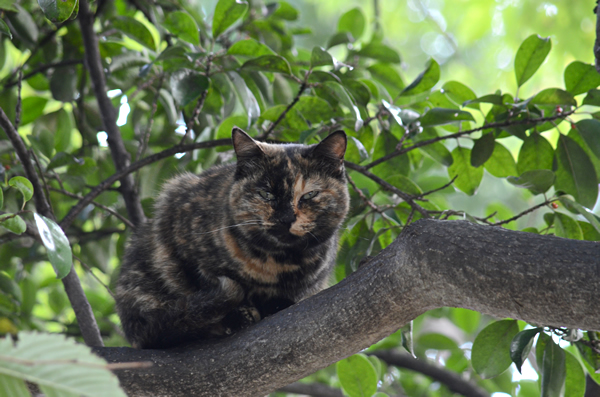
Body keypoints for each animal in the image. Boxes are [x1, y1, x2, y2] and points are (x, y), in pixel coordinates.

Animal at [115, 128, 350, 348]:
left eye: (309, 195)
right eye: (266, 194)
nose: (286, 218)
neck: (276, 263)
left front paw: (274, 306)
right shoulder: (176, 213)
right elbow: (202, 281)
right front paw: (237, 317)